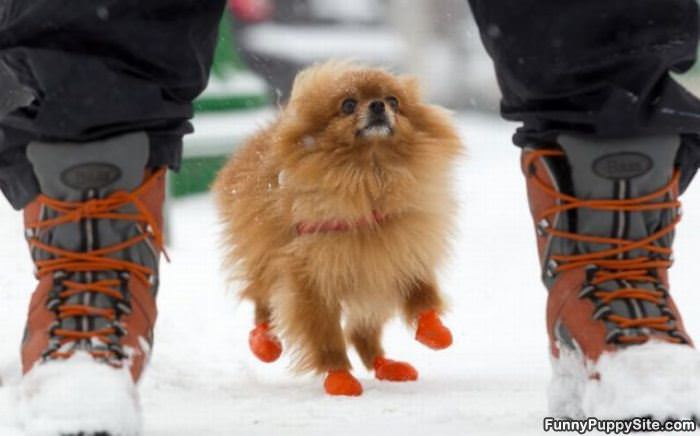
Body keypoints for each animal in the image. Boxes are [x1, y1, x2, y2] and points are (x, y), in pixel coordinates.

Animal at [215, 59, 464, 396]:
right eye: (348, 105)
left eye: (394, 101)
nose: (378, 105)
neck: (370, 176)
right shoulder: (311, 280)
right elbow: (326, 336)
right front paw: (339, 377)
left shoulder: (401, 254)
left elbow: (423, 296)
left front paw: (435, 331)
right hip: (266, 259)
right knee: (262, 303)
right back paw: (265, 343)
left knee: (362, 333)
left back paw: (386, 365)